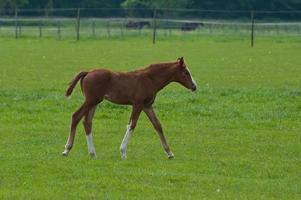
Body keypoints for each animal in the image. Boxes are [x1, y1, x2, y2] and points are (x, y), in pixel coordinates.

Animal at [61, 57, 197, 159]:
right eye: (186, 72)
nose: (194, 86)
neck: (150, 79)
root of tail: (88, 72)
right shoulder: (137, 104)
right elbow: (132, 125)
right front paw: (123, 152)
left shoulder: (147, 106)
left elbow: (157, 125)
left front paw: (169, 153)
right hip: (91, 101)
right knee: (76, 116)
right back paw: (67, 149)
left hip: (94, 103)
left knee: (87, 122)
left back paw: (92, 153)